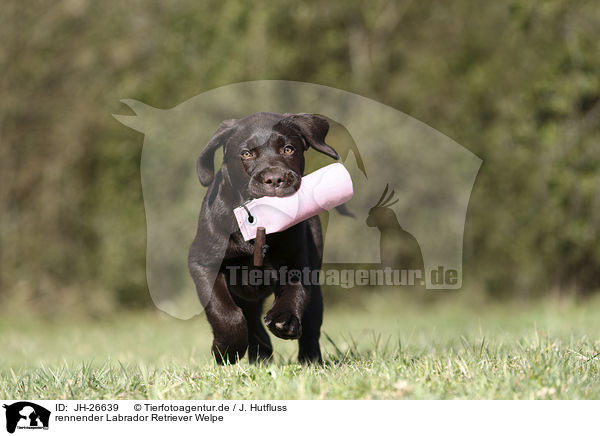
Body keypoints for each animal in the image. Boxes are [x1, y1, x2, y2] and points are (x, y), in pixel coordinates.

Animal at [189, 111, 338, 364]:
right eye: (246, 153)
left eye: (288, 149)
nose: (275, 179)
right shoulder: (203, 263)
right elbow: (223, 310)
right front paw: (226, 349)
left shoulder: (298, 262)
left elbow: (295, 293)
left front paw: (285, 319)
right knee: (250, 322)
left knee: (310, 327)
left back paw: (308, 360)